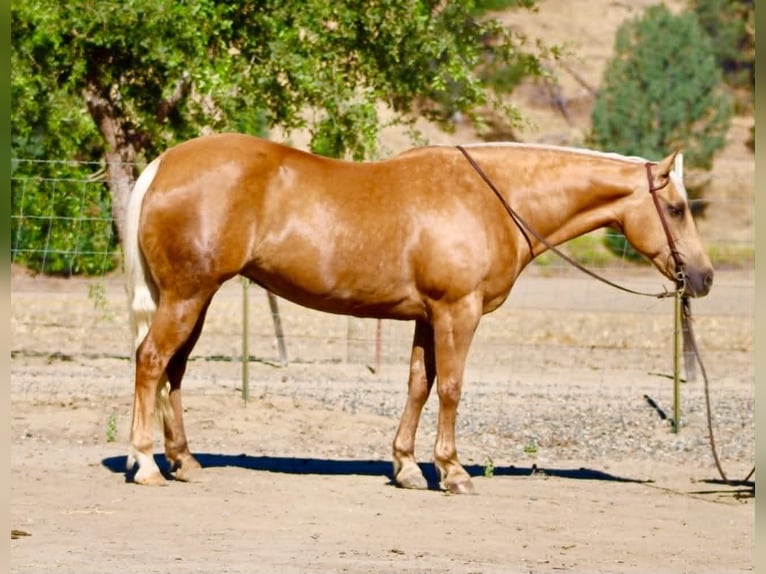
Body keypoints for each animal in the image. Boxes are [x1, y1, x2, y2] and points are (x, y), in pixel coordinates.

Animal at [123, 133, 713, 494]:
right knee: (151, 362)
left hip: (195, 298)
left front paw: (406, 466)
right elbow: (450, 387)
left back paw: (184, 461)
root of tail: (163, 166)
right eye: (677, 208)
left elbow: (418, 385)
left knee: (173, 370)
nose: (704, 278)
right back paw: (147, 464)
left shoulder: (427, 317)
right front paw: (452, 471)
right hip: (188, 294)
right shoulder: (458, 312)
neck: (491, 198)